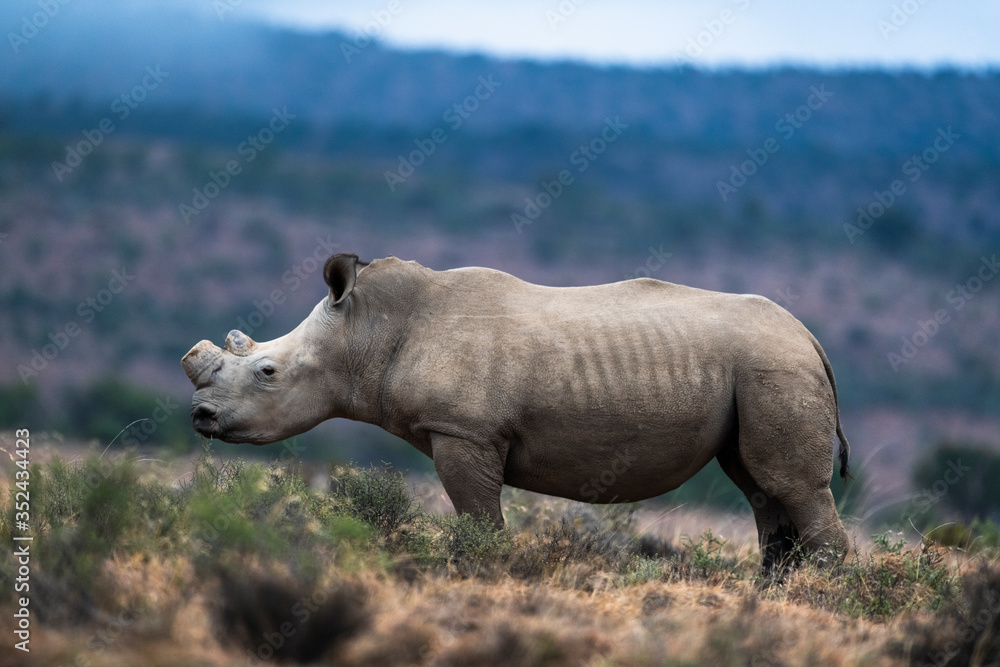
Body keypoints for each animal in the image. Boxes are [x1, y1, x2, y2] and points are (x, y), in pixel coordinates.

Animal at [182, 253, 850, 572]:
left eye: (268, 372)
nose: (201, 418)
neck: (366, 333)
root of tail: (810, 337)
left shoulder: (464, 431)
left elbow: (479, 517)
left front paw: (481, 567)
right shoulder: (463, 431)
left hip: (773, 364)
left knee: (790, 485)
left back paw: (826, 595)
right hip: (761, 367)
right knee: (761, 487)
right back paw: (774, 594)